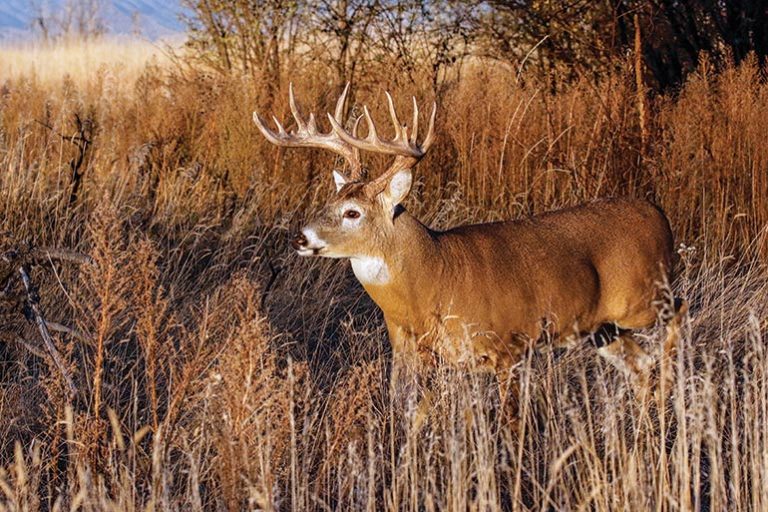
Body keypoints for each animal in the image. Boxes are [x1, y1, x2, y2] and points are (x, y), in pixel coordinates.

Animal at [254, 84, 687, 398]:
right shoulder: (413, 355)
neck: (435, 276)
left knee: (677, 314)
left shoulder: (508, 347)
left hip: (642, 299)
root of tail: (659, 213)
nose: (299, 236)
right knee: (640, 366)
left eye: (352, 213)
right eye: (329, 201)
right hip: (601, 327)